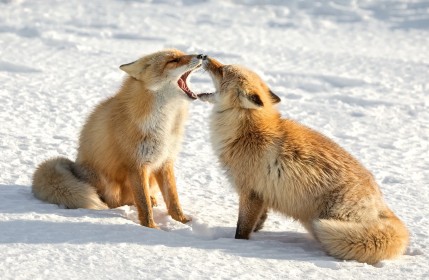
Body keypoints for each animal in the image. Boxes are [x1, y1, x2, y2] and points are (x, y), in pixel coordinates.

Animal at [31, 48, 206, 228]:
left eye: (183, 54)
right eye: (173, 60)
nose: (202, 55)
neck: (166, 125)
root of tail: (75, 166)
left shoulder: (165, 161)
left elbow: (173, 199)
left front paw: (183, 222)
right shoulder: (136, 164)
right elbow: (143, 204)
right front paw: (151, 228)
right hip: (106, 182)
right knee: (115, 202)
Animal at [198, 56, 408, 262]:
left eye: (222, 70)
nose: (203, 56)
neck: (247, 131)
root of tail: (381, 201)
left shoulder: (250, 192)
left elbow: (241, 230)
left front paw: (237, 246)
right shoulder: (261, 196)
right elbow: (257, 222)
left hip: (330, 218)